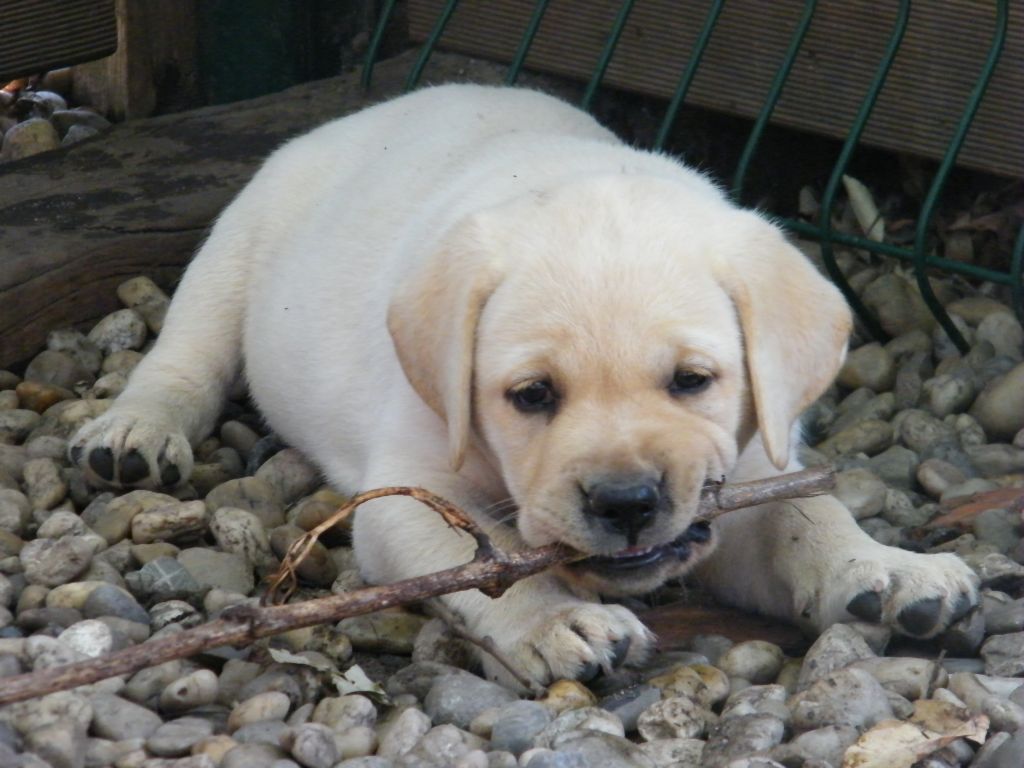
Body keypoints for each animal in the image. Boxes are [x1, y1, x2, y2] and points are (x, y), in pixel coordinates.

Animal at [68, 87, 978, 688]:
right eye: (532, 396)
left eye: (693, 380)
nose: (625, 502)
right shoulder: (411, 489)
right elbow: (487, 559)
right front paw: (558, 618)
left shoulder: (757, 457)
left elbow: (803, 512)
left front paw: (886, 569)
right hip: (235, 249)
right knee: (183, 357)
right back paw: (134, 436)